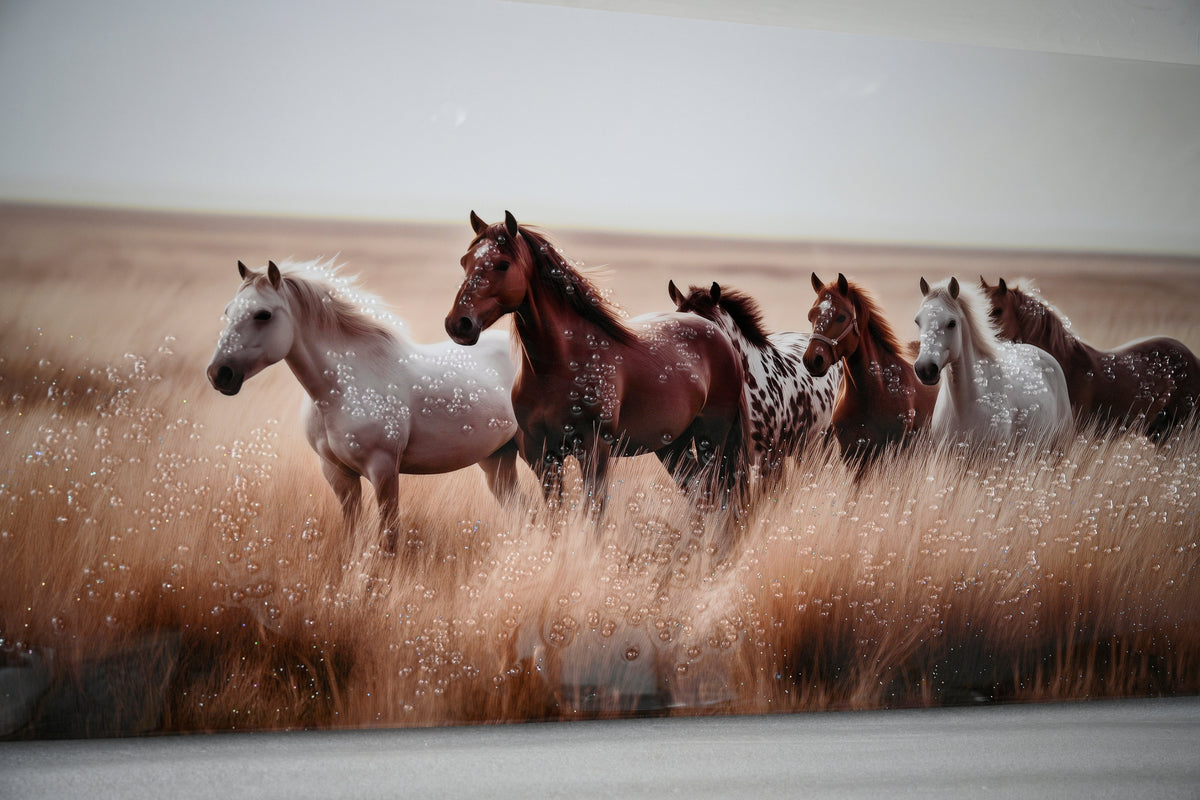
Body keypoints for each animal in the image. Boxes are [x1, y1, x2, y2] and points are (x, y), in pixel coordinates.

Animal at [206, 258, 520, 556]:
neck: (340, 391)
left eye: (263, 314)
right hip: (497, 460)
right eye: (228, 312)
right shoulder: (338, 474)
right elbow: (352, 533)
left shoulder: (383, 471)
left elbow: (389, 537)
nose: (218, 374)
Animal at [444, 211, 748, 508]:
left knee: (714, 494)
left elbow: (594, 511)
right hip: (673, 445)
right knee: (698, 494)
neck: (558, 367)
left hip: (711, 439)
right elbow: (554, 514)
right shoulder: (541, 455)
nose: (458, 324)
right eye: (464, 261)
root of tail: (716, 332)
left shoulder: (594, 450)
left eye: (503, 264)